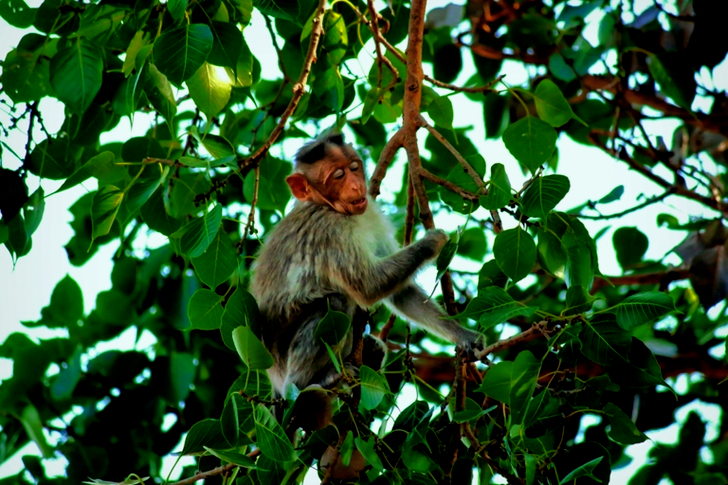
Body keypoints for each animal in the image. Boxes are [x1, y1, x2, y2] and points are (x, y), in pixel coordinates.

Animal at [249, 133, 482, 433]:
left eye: (354, 167)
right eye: (337, 176)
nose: (355, 185)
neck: (326, 206)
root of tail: (275, 385)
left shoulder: (367, 211)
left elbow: (400, 292)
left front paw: (463, 335)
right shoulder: (330, 230)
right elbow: (367, 286)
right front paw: (433, 242)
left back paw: (364, 357)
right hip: (283, 363)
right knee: (335, 302)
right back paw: (313, 382)